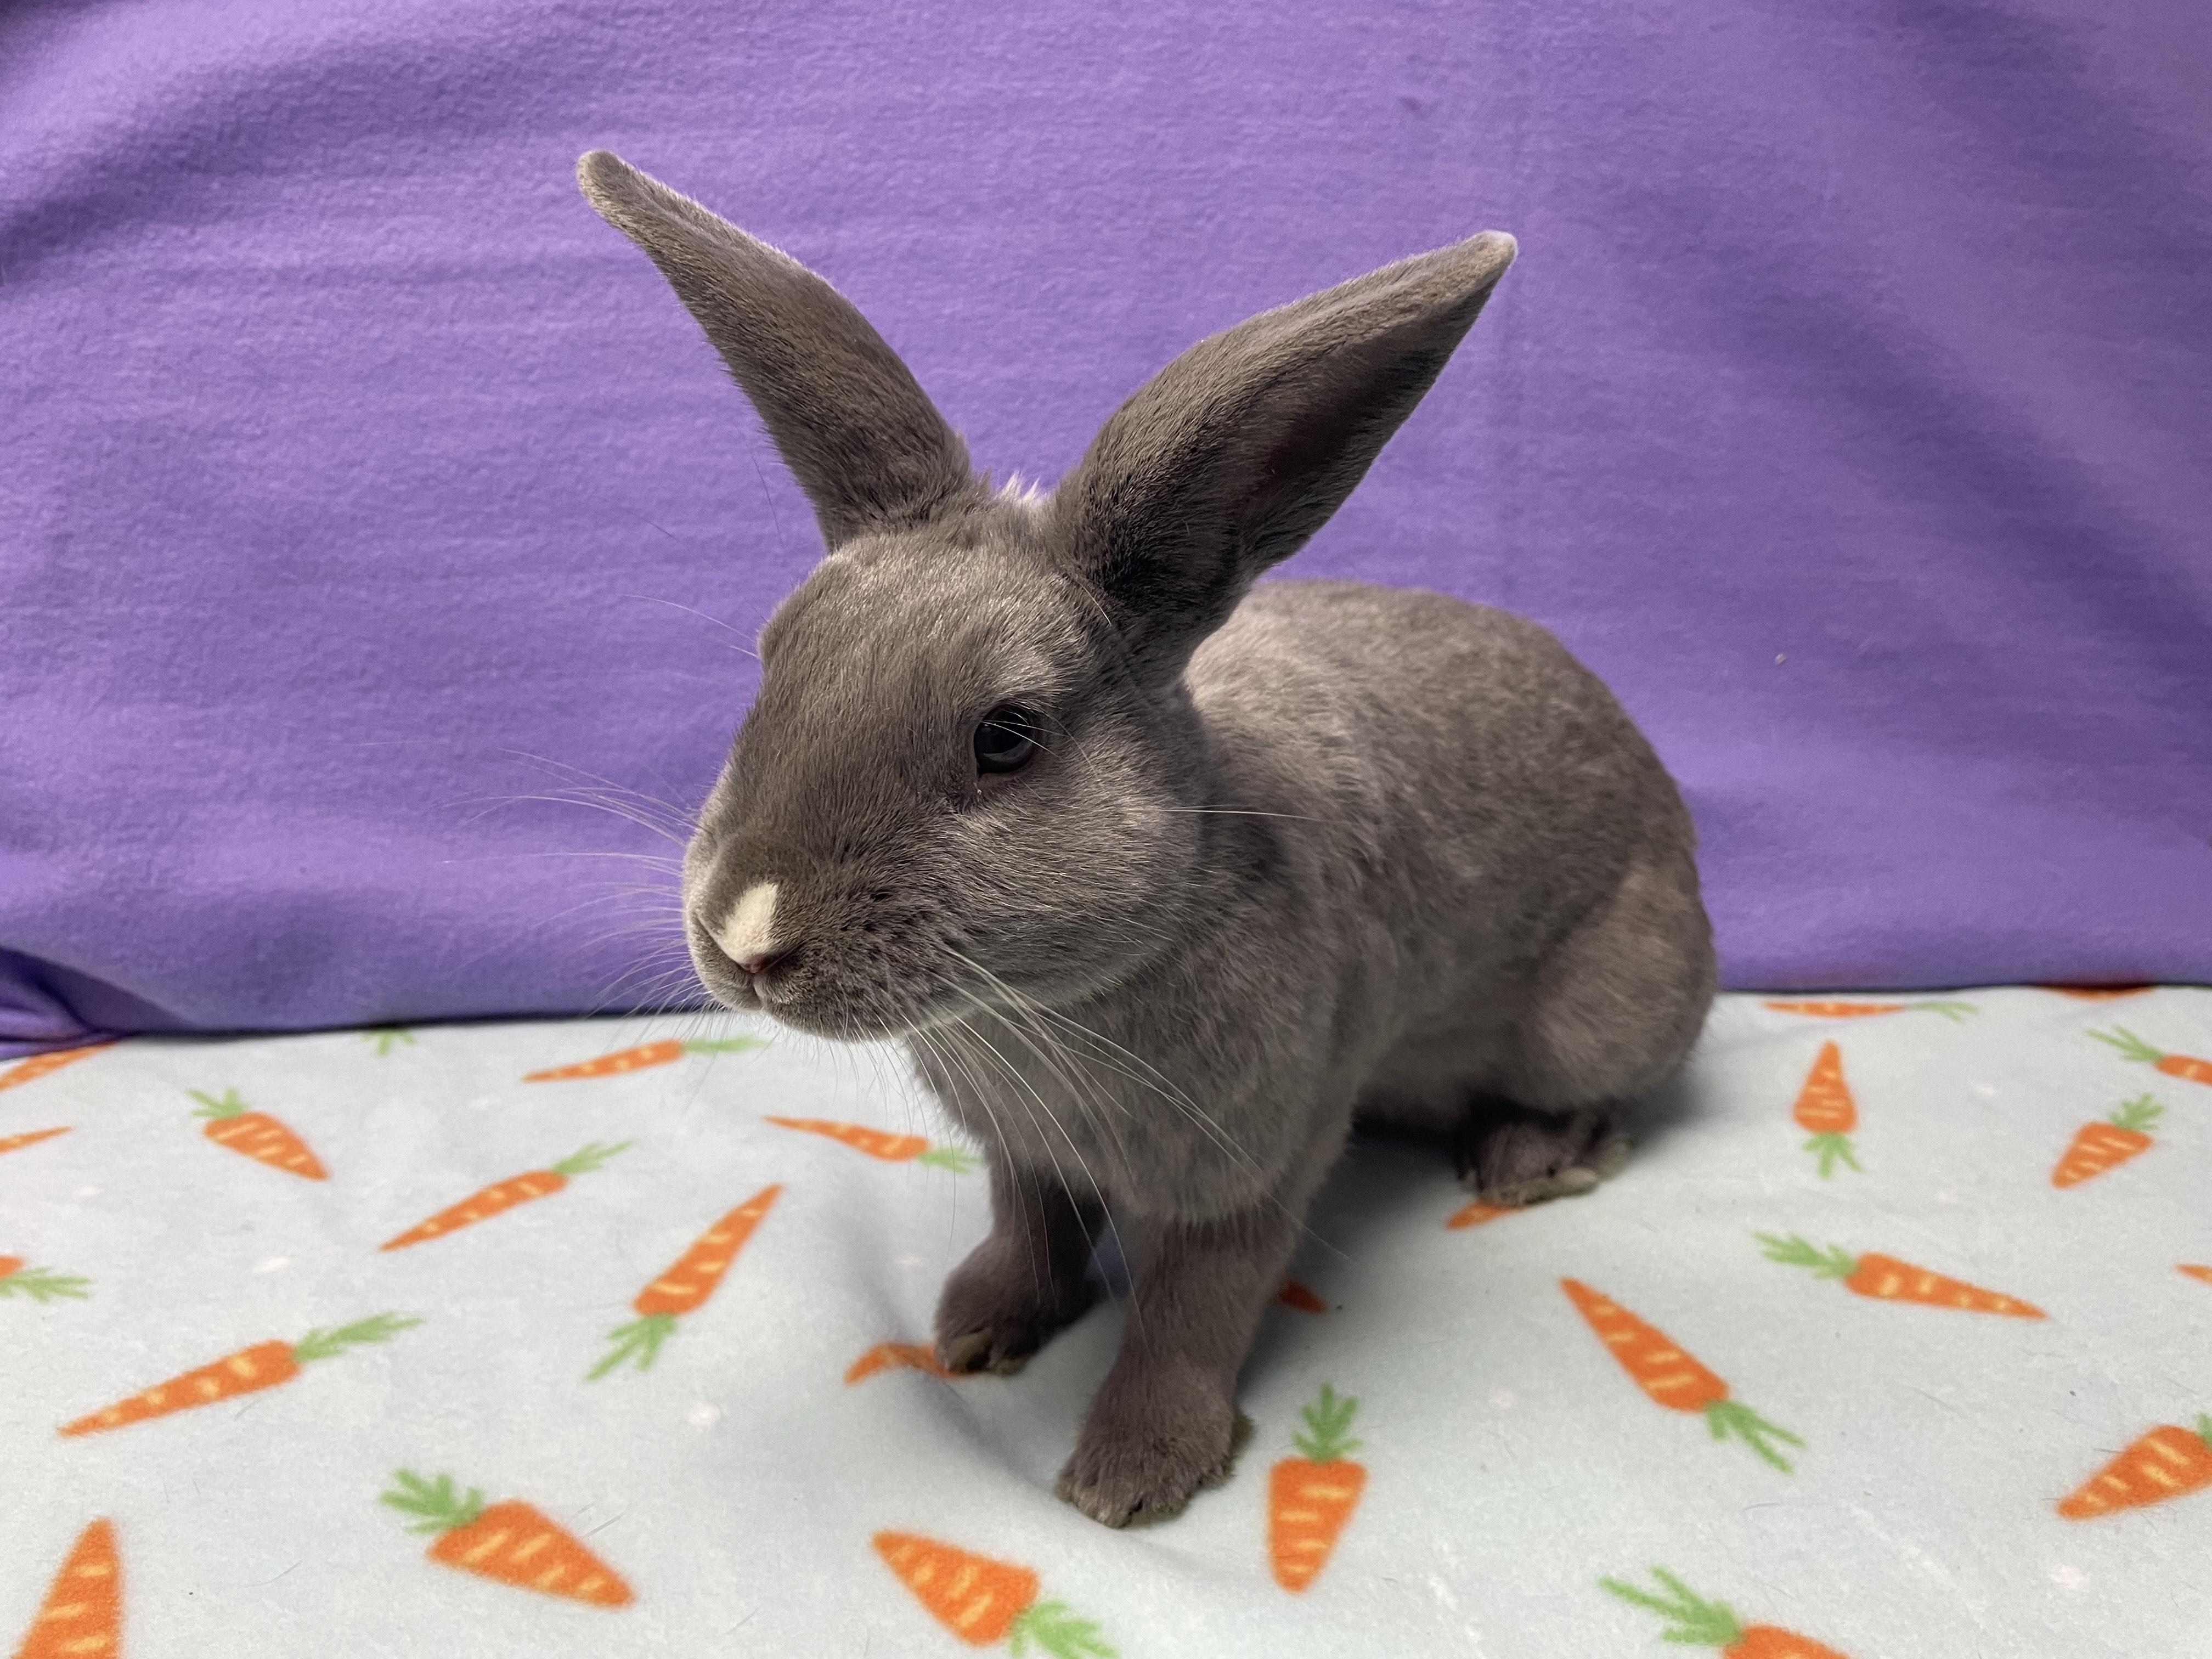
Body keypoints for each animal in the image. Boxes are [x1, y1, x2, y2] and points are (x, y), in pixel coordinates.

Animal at [578, 150, 1717, 1527]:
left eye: (1006, 736)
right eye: (772, 663)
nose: (747, 937)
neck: (1044, 1003)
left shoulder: (1250, 1169)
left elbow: (1193, 1310)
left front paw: (1132, 1476)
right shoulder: (1026, 1153)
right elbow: (1032, 1232)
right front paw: (975, 1330)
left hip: (1605, 1000)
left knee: (1613, 1086)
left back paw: (1534, 1157)